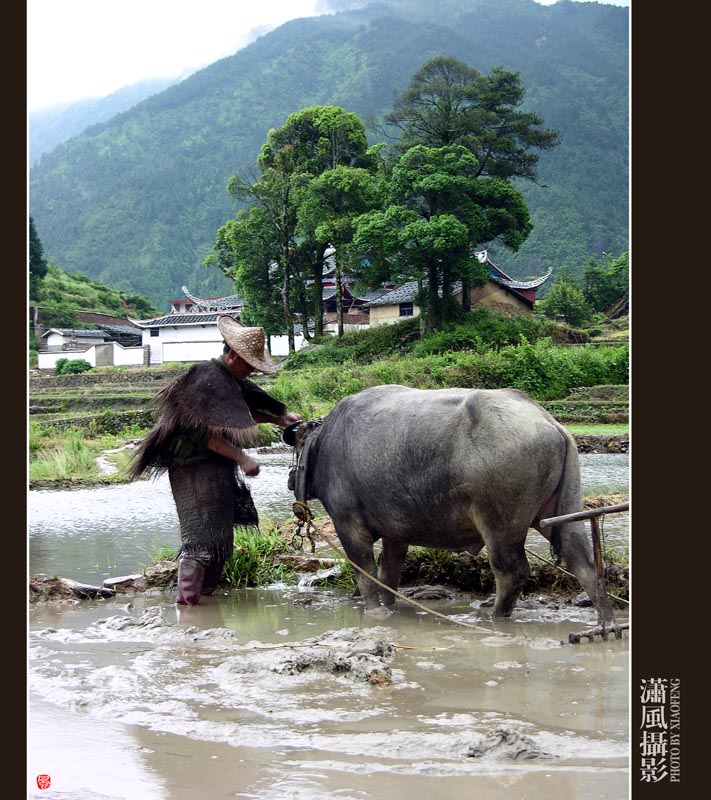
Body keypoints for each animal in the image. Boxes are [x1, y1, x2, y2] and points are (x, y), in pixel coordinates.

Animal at [286, 384, 616, 620]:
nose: (290, 481)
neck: (323, 444)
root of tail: (549, 422)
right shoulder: (396, 534)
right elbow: (388, 574)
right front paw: (391, 606)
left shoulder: (348, 523)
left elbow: (366, 573)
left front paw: (376, 611)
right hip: (560, 511)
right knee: (583, 561)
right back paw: (606, 619)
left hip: (500, 525)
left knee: (512, 571)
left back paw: (495, 616)